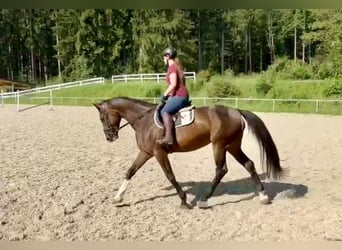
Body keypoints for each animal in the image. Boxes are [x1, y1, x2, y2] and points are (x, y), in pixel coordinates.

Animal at [93, 96, 284, 208]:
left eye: (102, 117)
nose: (109, 137)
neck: (144, 120)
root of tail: (236, 111)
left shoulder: (158, 152)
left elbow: (170, 175)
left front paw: (184, 200)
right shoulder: (146, 152)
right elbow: (130, 171)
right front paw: (117, 198)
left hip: (219, 145)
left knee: (221, 170)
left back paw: (204, 200)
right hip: (232, 146)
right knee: (249, 164)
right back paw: (263, 196)